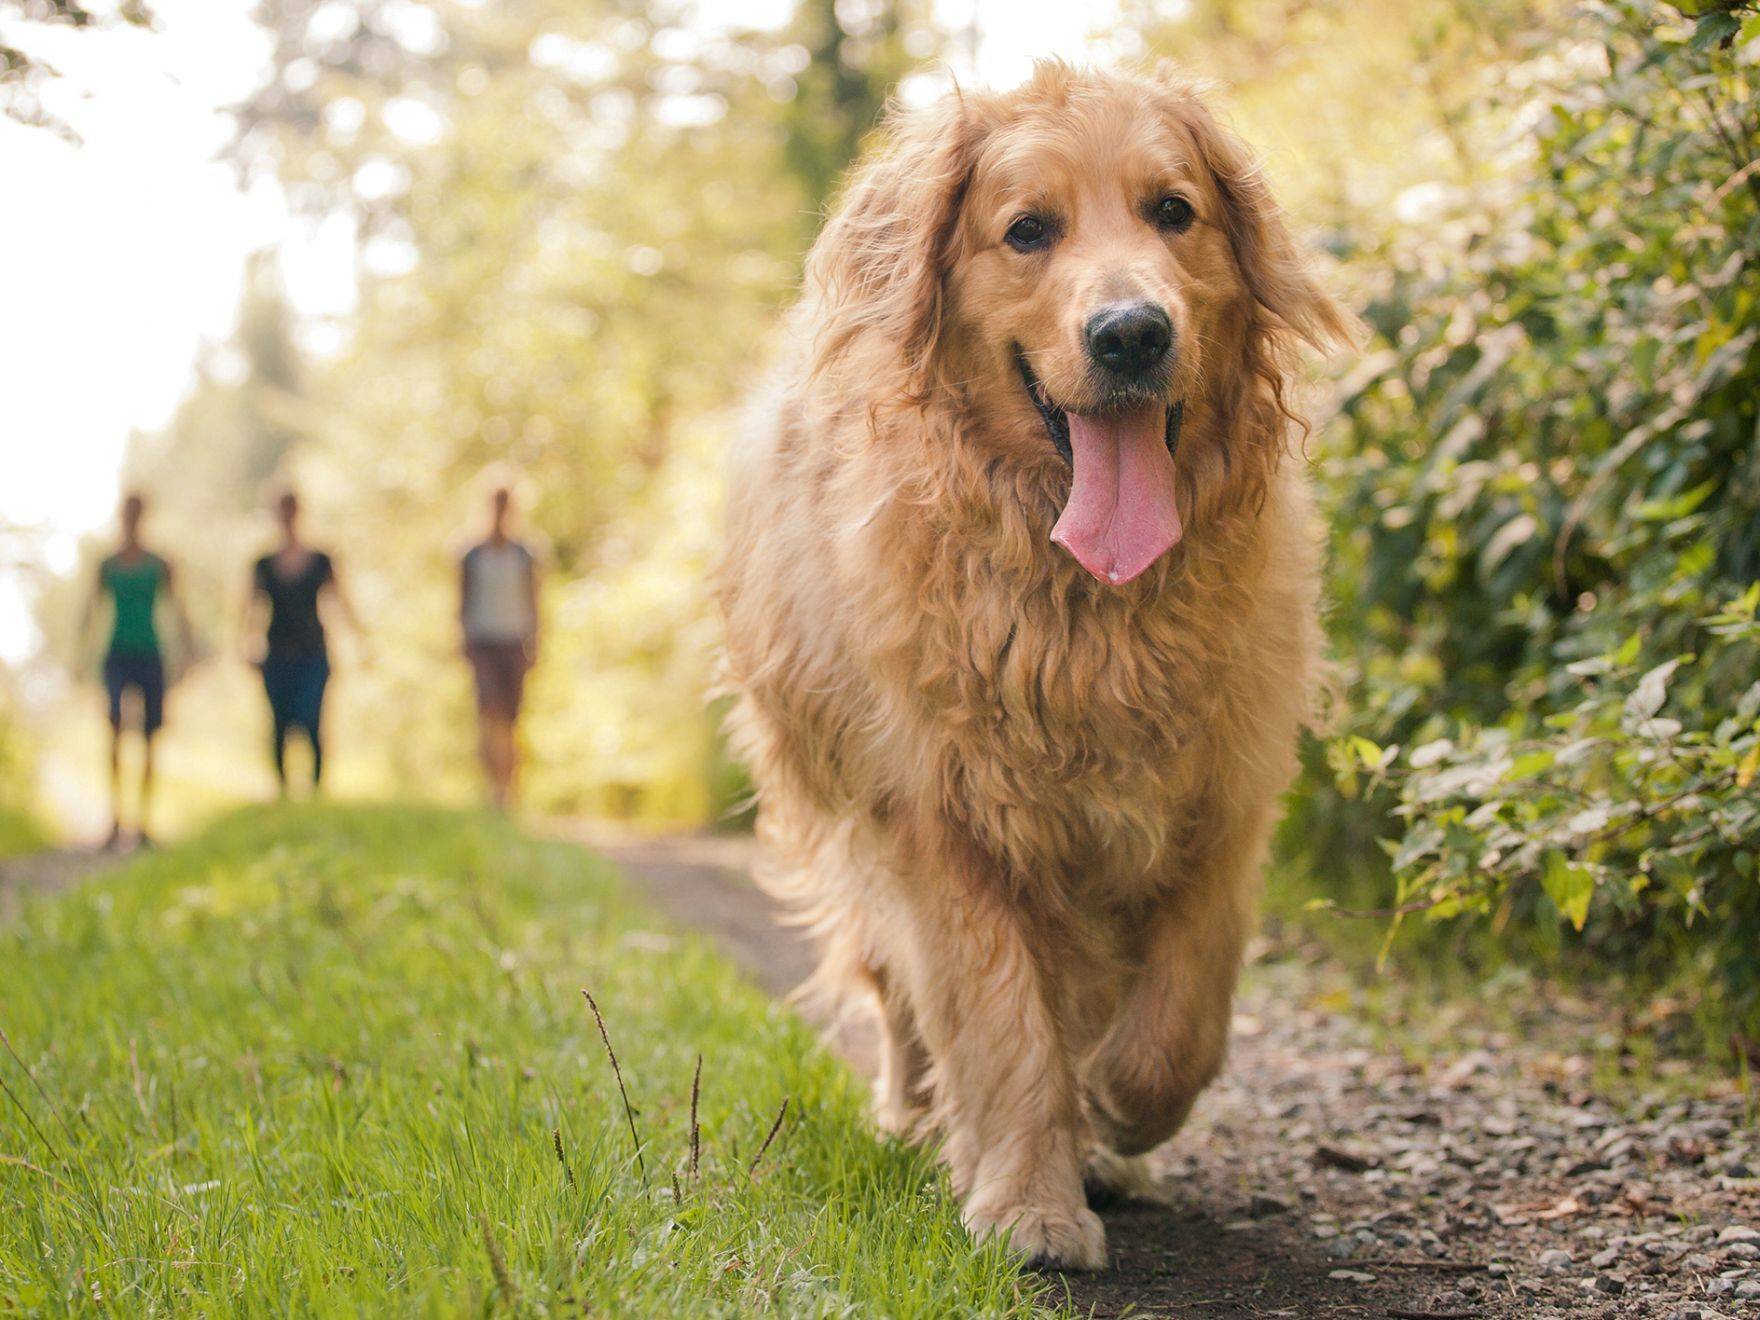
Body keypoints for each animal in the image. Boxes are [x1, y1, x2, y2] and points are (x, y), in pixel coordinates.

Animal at [714, 62, 1344, 1274]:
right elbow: (1001, 1025)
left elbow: (1180, 1016)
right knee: (902, 998)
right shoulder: (947, 821)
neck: (1093, 609)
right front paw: (1027, 1204)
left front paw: (1117, 1115)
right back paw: (916, 1119)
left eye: (1173, 211)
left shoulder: (1220, 799)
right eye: (1028, 231)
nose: (1131, 334)